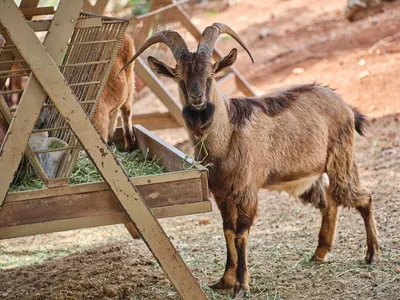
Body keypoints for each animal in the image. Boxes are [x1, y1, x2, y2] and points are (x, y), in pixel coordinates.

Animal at [122, 22, 382, 296]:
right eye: (179, 76)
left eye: (211, 73)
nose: (197, 99)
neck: (227, 137)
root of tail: (346, 106)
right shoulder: (221, 193)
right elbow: (227, 231)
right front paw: (224, 281)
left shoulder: (246, 191)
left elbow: (240, 234)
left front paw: (241, 284)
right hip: (309, 177)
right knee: (330, 201)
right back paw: (320, 253)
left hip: (341, 160)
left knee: (362, 197)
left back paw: (372, 254)